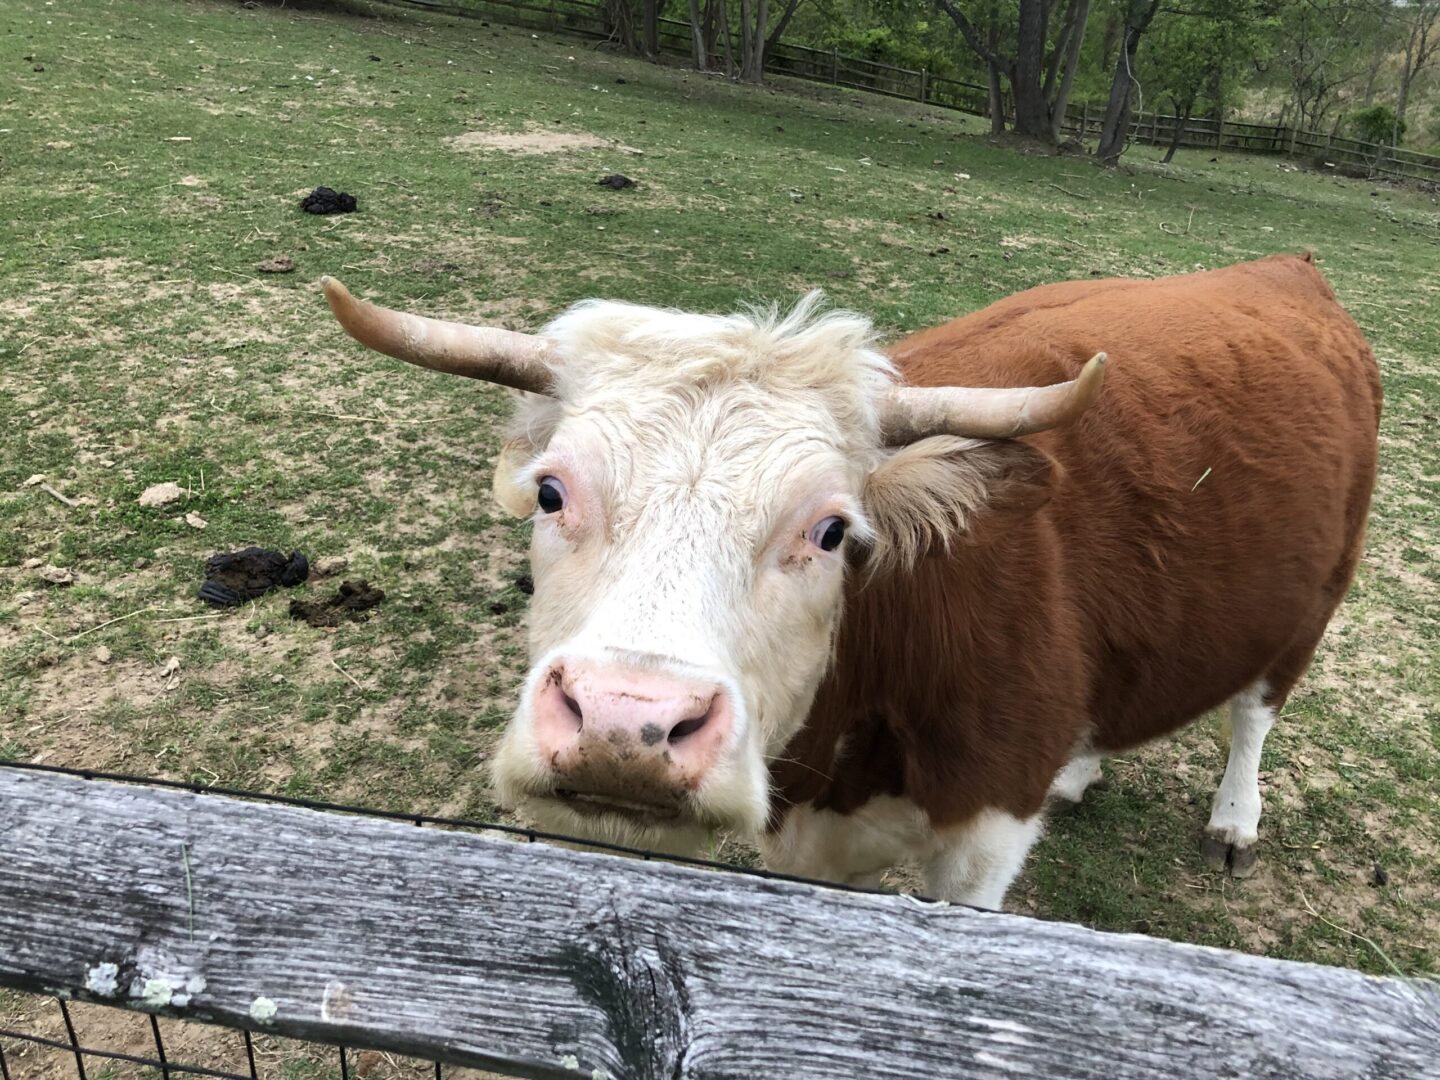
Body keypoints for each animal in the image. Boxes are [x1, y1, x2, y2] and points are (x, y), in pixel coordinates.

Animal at [321, 256, 1376, 915]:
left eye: (831, 531)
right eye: (550, 491)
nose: (627, 725)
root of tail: (1286, 269)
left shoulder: (982, 848)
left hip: (1317, 596)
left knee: (1255, 709)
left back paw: (1234, 818)